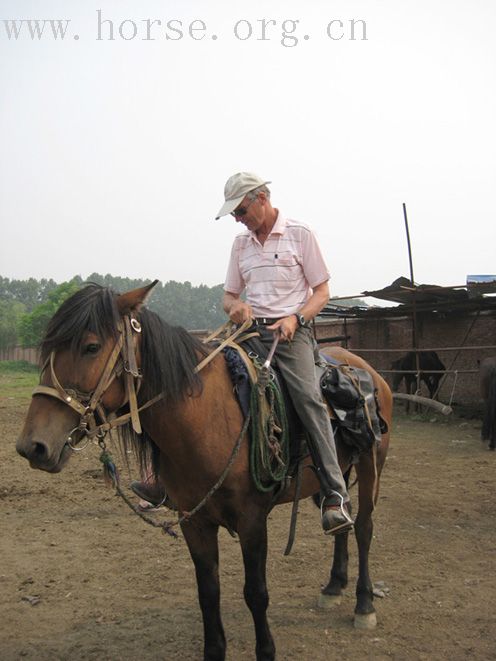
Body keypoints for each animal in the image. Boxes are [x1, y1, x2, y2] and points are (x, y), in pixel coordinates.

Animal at [15, 284, 392, 660]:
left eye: (91, 346)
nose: (33, 446)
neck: (207, 420)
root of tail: (367, 371)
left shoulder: (252, 520)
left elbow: (256, 592)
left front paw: (266, 650)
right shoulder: (193, 522)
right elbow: (208, 593)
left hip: (370, 466)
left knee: (363, 527)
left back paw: (364, 604)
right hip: (338, 470)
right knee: (341, 519)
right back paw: (333, 586)